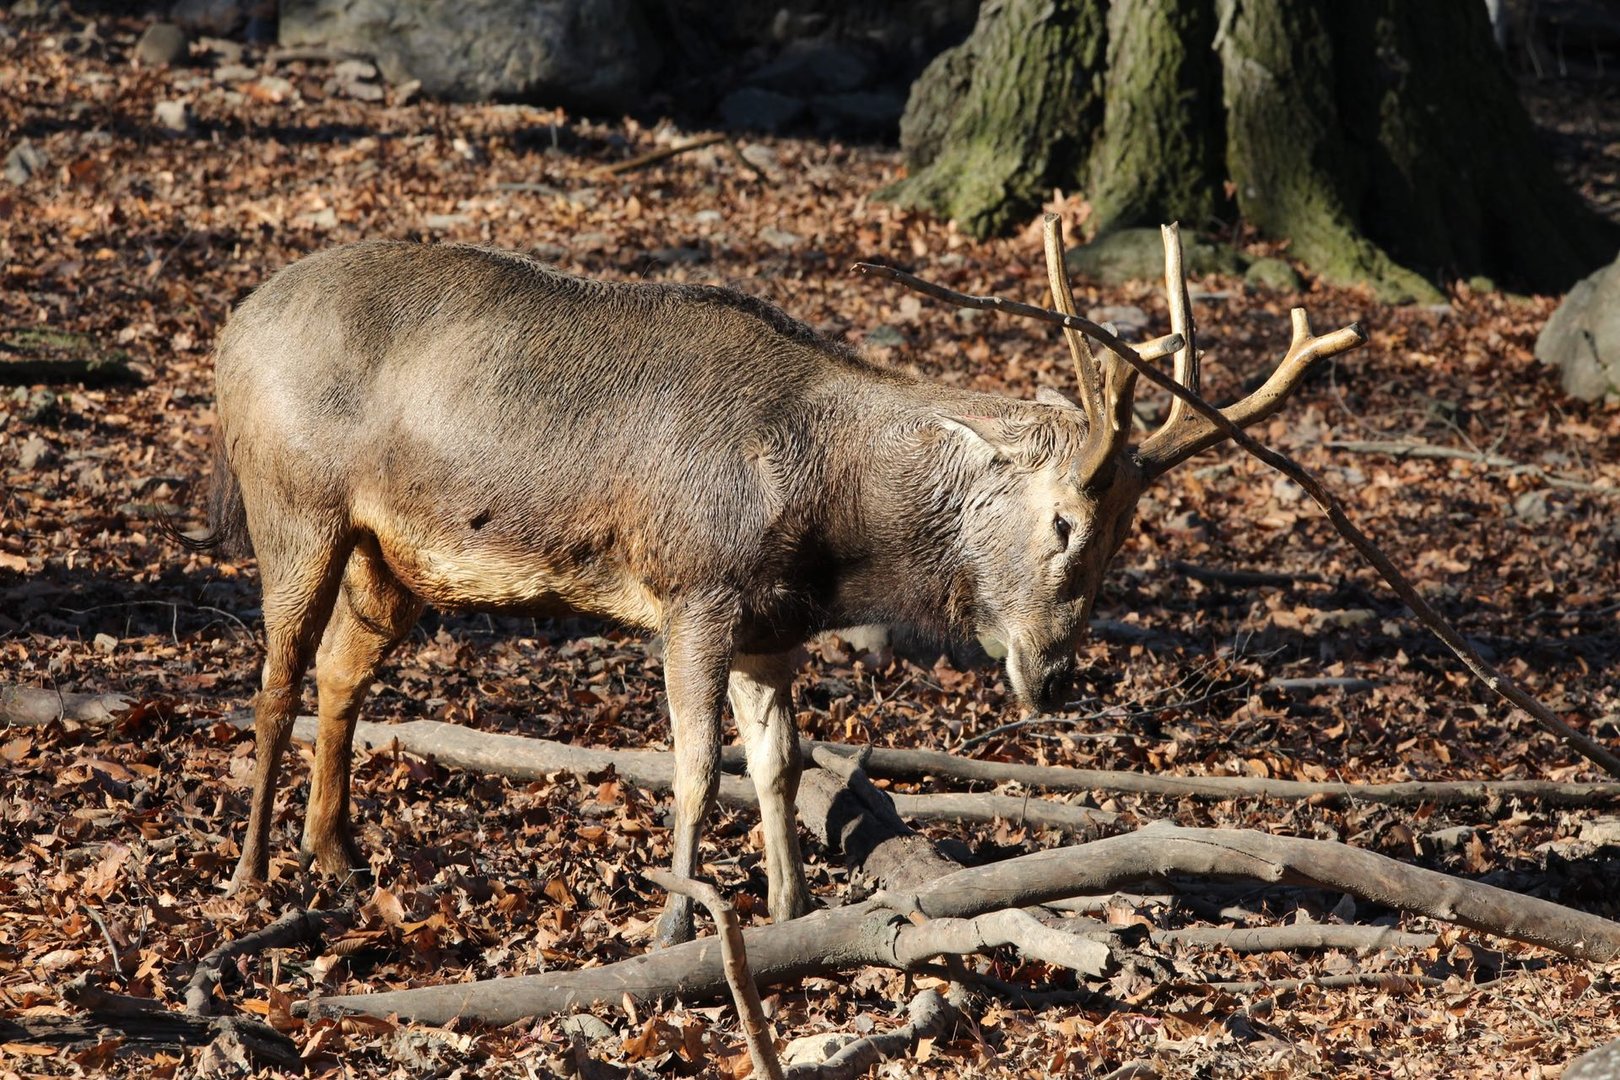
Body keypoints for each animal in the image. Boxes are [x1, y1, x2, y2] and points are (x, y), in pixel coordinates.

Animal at [180, 215, 1364, 946]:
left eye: (1128, 538)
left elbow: (783, 766)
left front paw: (792, 908)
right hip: (293, 503)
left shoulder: (773, 626)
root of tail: (226, 339)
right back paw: (248, 874)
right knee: (274, 678)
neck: (829, 526)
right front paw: (674, 921)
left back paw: (335, 856)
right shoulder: (694, 590)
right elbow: (699, 767)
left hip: (395, 557)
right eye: (1065, 519)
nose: (1053, 673)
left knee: (341, 674)